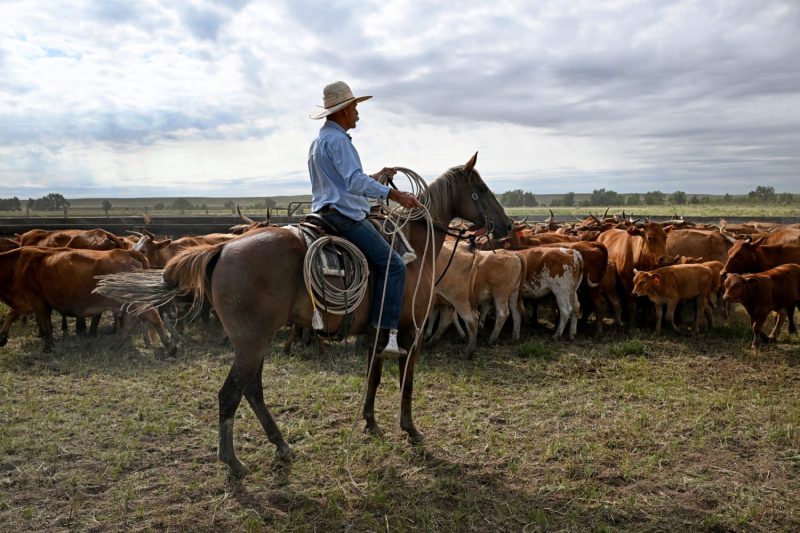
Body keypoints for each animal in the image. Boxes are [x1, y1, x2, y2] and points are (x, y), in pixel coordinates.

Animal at [0, 247, 176, 354]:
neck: (18, 264)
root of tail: (127, 252)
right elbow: (10, 314)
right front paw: (2, 337)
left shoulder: (38, 302)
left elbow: (46, 325)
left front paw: (48, 346)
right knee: (130, 320)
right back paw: (118, 343)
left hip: (132, 299)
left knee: (152, 315)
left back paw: (170, 345)